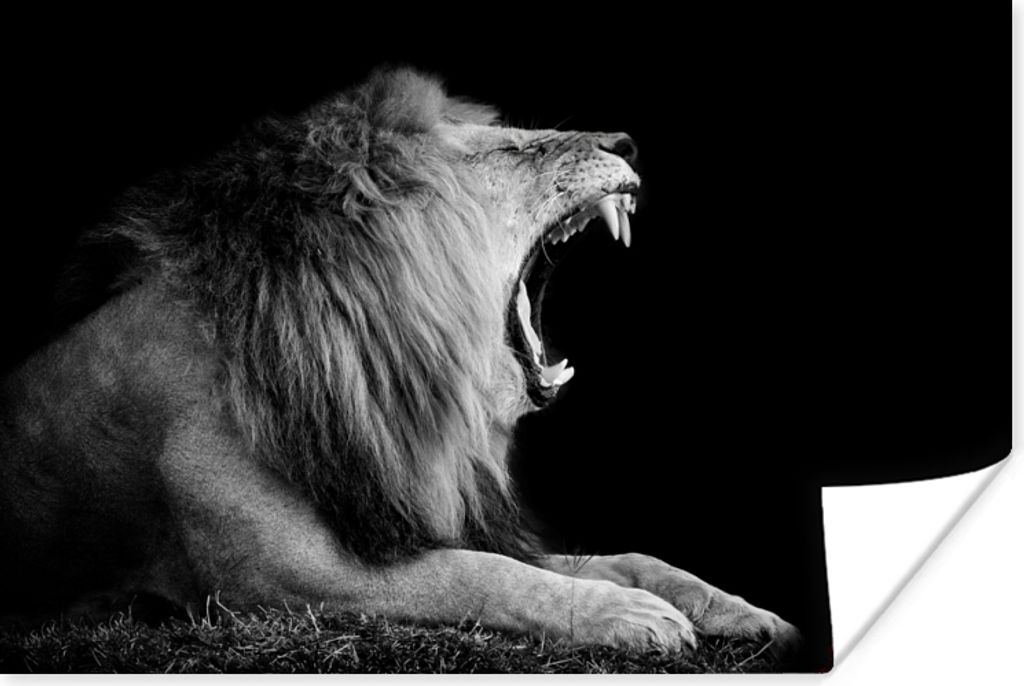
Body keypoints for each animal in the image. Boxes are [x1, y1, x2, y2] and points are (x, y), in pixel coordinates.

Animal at [0, 67, 799, 658]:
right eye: (509, 151)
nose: (628, 143)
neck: (374, 378)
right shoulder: (278, 581)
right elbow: (480, 577)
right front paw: (630, 616)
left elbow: (625, 556)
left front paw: (738, 608)